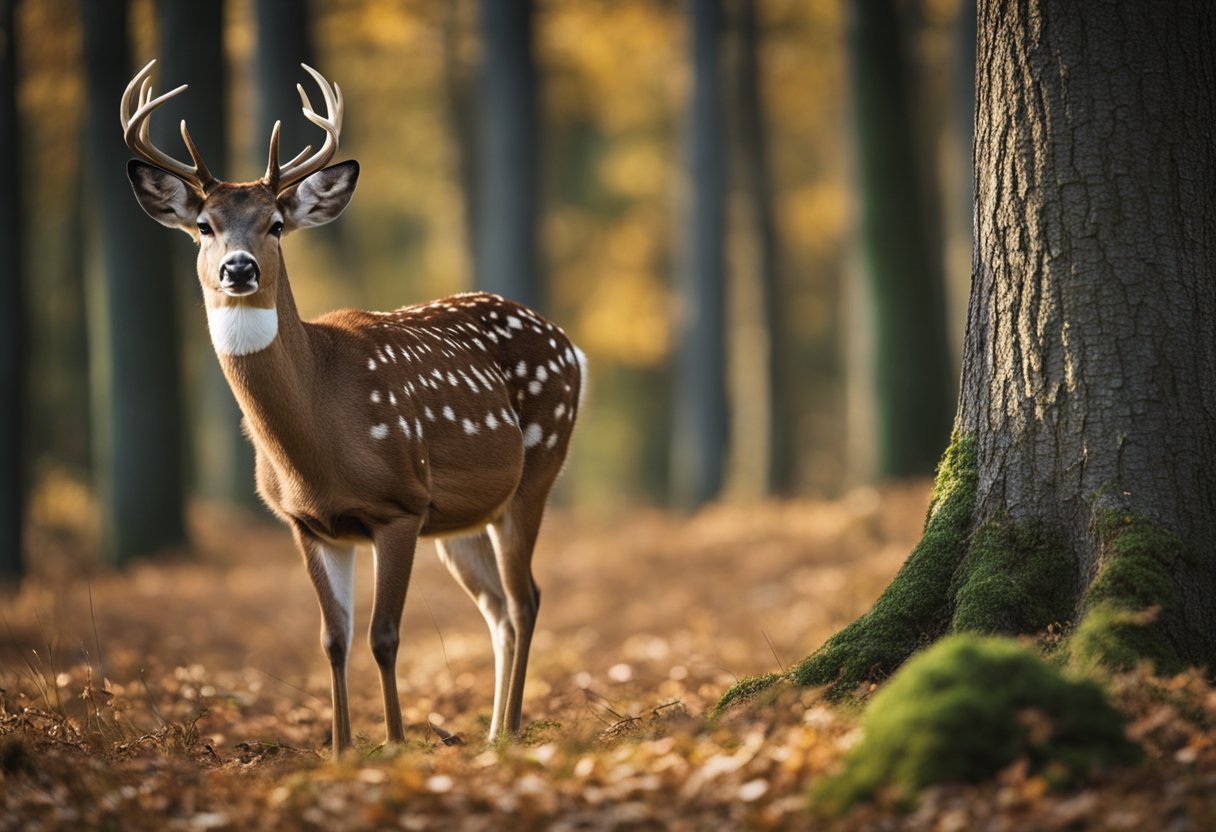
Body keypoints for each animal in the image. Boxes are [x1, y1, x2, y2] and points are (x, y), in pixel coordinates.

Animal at [117, 61, 583, 759]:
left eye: (276, 223)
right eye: (203, 225)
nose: (238, 268)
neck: (316, 443)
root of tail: (570, 345)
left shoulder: (401, 504)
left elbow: (383, 636)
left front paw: (392, 743)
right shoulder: (307, 523)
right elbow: (332, 640)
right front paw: (338, 750)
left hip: (535, 471)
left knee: (526, 598)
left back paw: (514, 728)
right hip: (464, 519)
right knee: (499, 609)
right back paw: (493, 731)